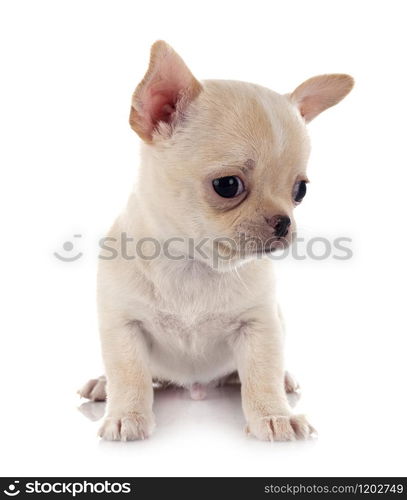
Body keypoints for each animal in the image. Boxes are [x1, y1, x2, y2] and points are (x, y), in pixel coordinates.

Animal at [79, 43, 354, 442]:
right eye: (227, 185)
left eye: (300, 191)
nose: (284, 222)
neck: (195, 264)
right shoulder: (123, 326)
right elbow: (129, 374)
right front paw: (125, 414)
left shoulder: (260, 326)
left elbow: (262, 375)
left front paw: (275, 414)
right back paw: (102, 384)